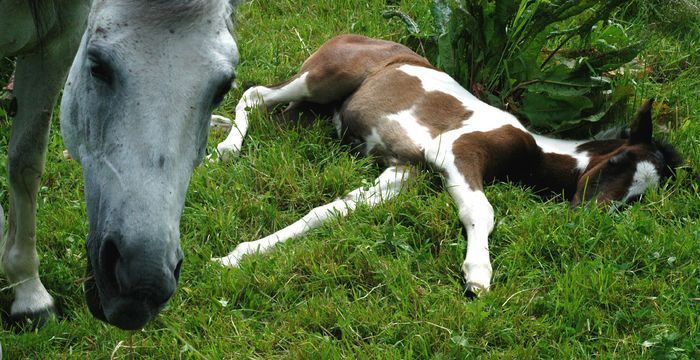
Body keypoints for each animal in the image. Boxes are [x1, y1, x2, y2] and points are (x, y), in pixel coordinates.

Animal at [215, 34, 684, 292]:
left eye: (637, 199)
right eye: (617, 160)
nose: (589, 215)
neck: (531, 148)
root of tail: (343, 36)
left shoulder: (403, 170)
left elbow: (331, 211)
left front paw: (238, 256)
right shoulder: (457, 154)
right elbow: (482, 210)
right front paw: (478, 274)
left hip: (315, 108)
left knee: (269, 110)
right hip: (321, 80)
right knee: (255, 93)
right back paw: (226, 149)